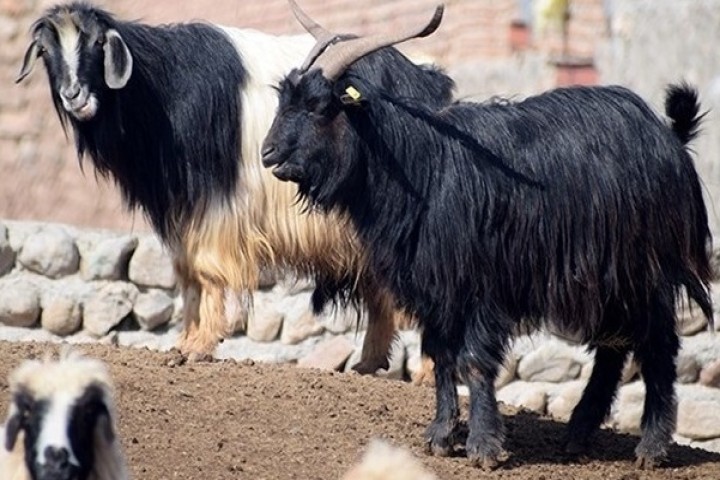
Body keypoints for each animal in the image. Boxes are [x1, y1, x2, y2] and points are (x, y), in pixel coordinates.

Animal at [264, 2, 716, 468]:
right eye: (283, 98)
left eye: (319, 106)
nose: (268, 154)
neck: (425, 165)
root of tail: (670, 136)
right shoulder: (434, 290)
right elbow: (441, 357)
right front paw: (441, 436)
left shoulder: (483, 287)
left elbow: (474, 361)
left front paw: (483, 446)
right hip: (605, 278)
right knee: (614, 348)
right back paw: (577, 434)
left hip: (648, 269)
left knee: (659, 345)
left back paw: (651, 447)